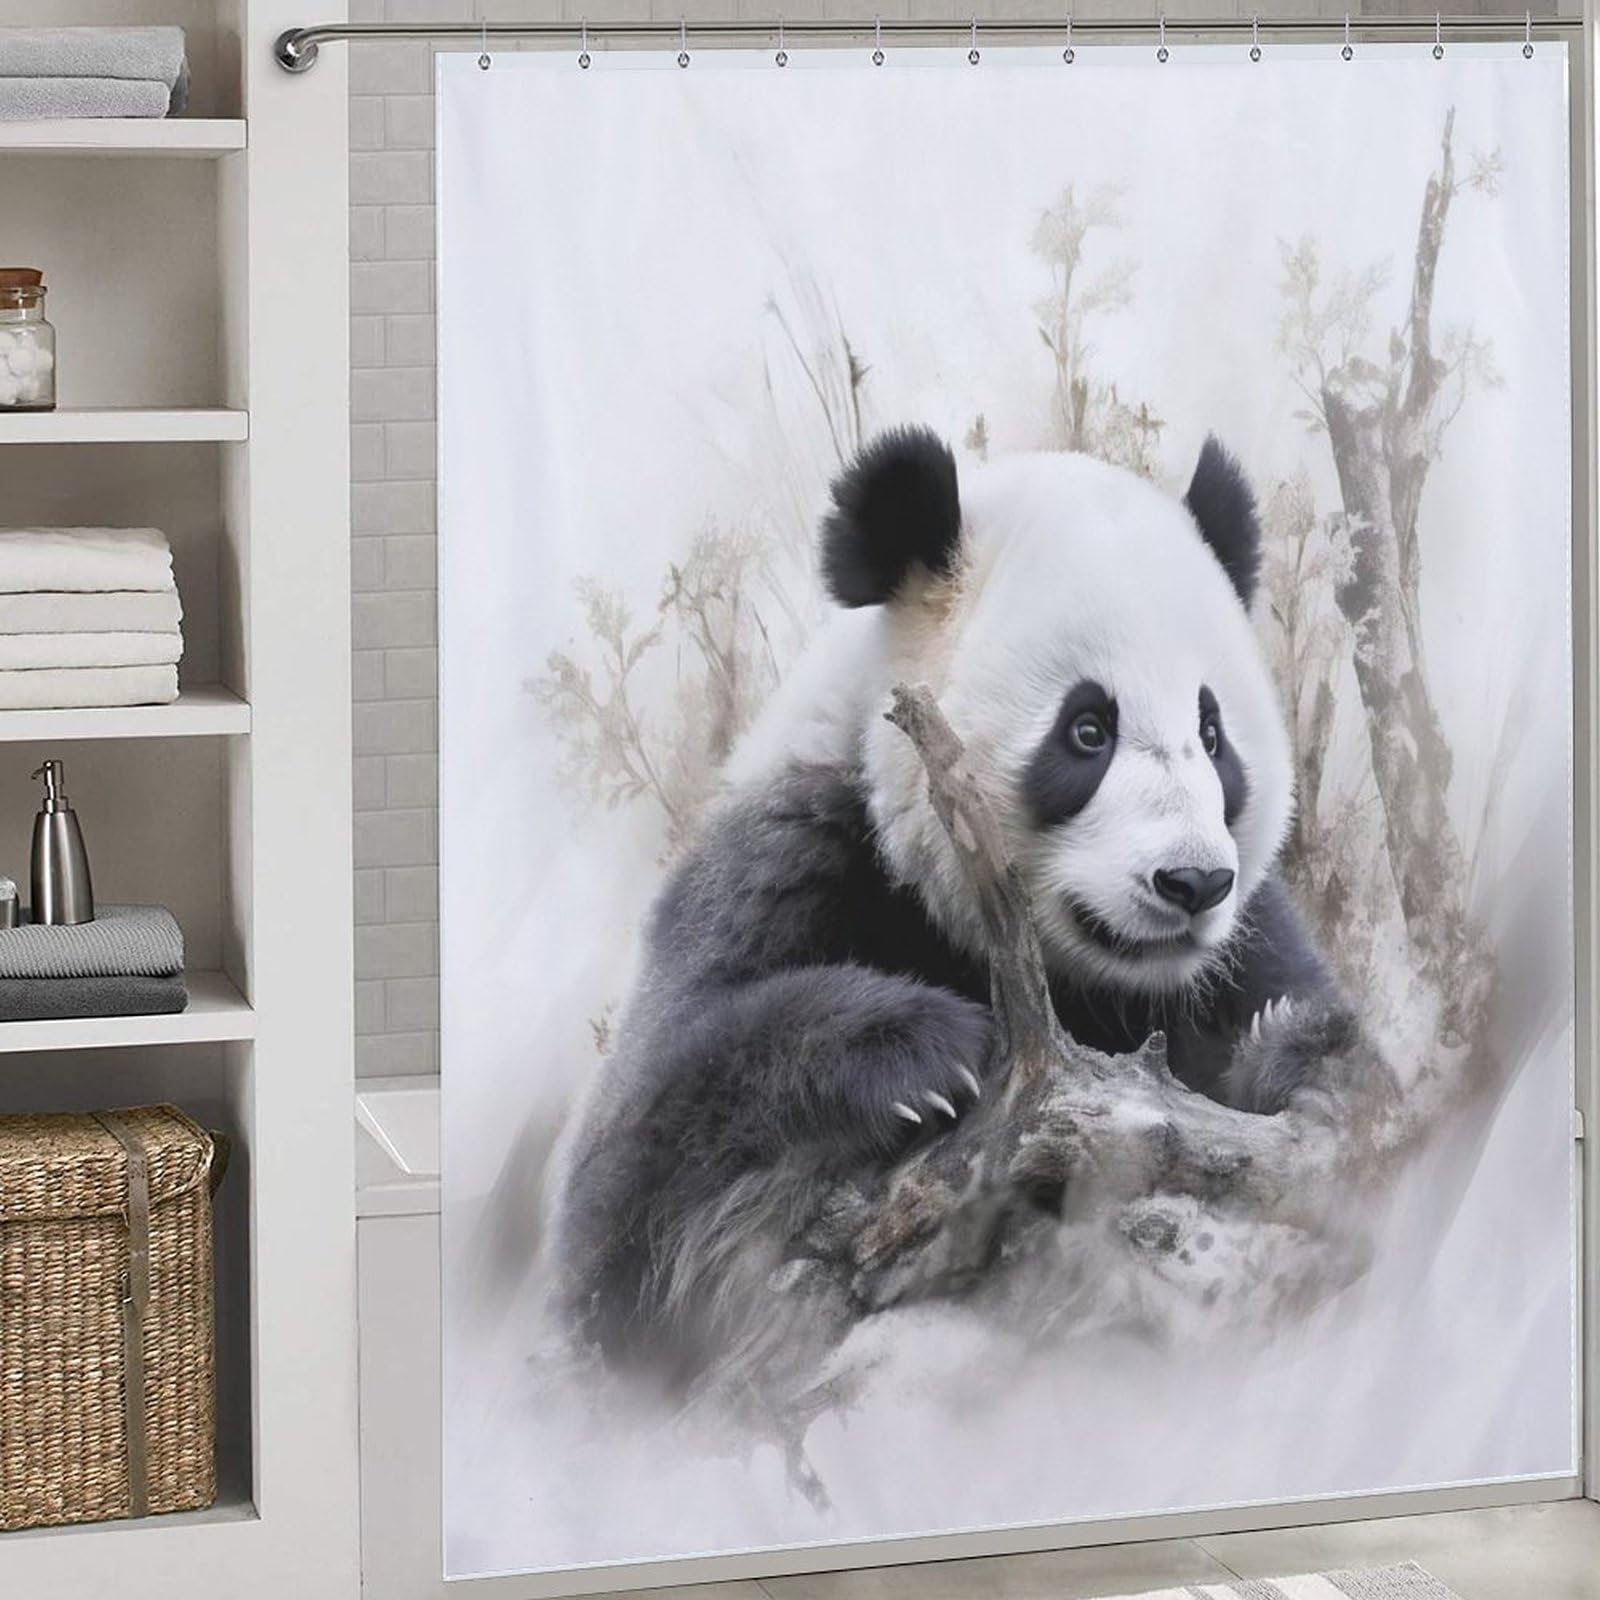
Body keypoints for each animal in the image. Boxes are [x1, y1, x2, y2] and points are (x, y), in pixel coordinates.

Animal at [551, 427, 1349, 1383]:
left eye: (1212, 733)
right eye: (1088, 729)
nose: (1191, 884)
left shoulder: (1248, 939)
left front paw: (1291, 1049)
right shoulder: (787, 865)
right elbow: (626, 1194)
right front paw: (923, 1056)